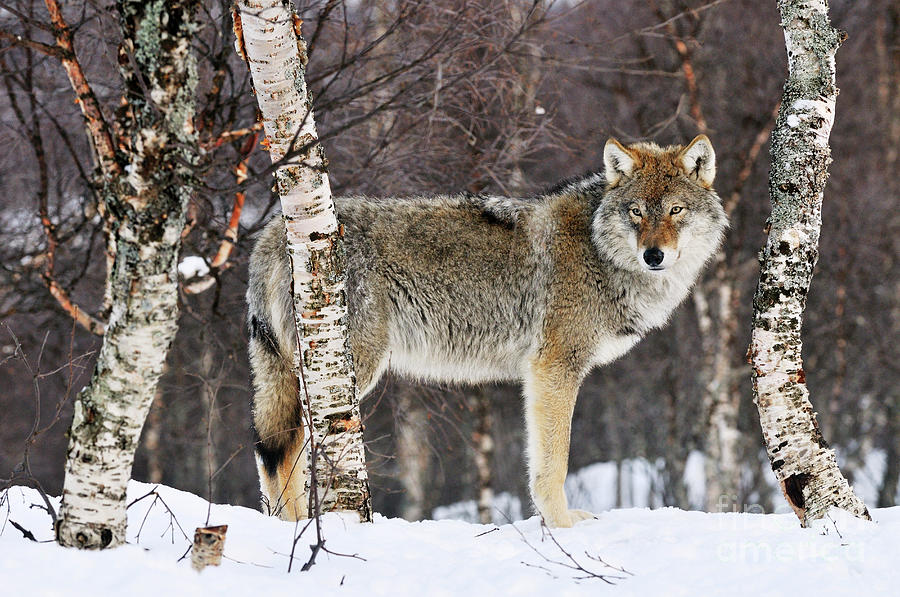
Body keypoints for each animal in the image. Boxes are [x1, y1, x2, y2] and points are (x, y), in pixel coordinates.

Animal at [250, 134, 728, 528]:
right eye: (636, 212)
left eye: (675, 211)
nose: (654, 255)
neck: (599, 252)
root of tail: (273, 231)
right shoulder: (554, 368)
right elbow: (554, 462)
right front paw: (563, 528)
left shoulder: (539, 377)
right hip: (342, 376)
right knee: (287, 450)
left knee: (270, 452)